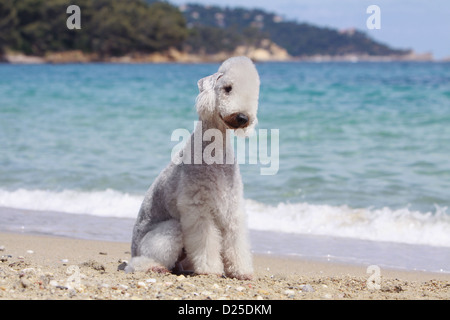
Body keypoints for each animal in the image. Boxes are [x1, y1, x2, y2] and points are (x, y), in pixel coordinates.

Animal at [126, 56, 260, 278]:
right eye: (228, 88)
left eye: (254, 94)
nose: (243, 118)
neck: (215, 150)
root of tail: (132, 248)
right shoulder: (198, 208)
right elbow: (205, 241)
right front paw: (210, 268)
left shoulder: (232, 205)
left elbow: (236, 239)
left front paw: (242, 270)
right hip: (169, 230)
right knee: (138, 263)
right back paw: (155, 267)